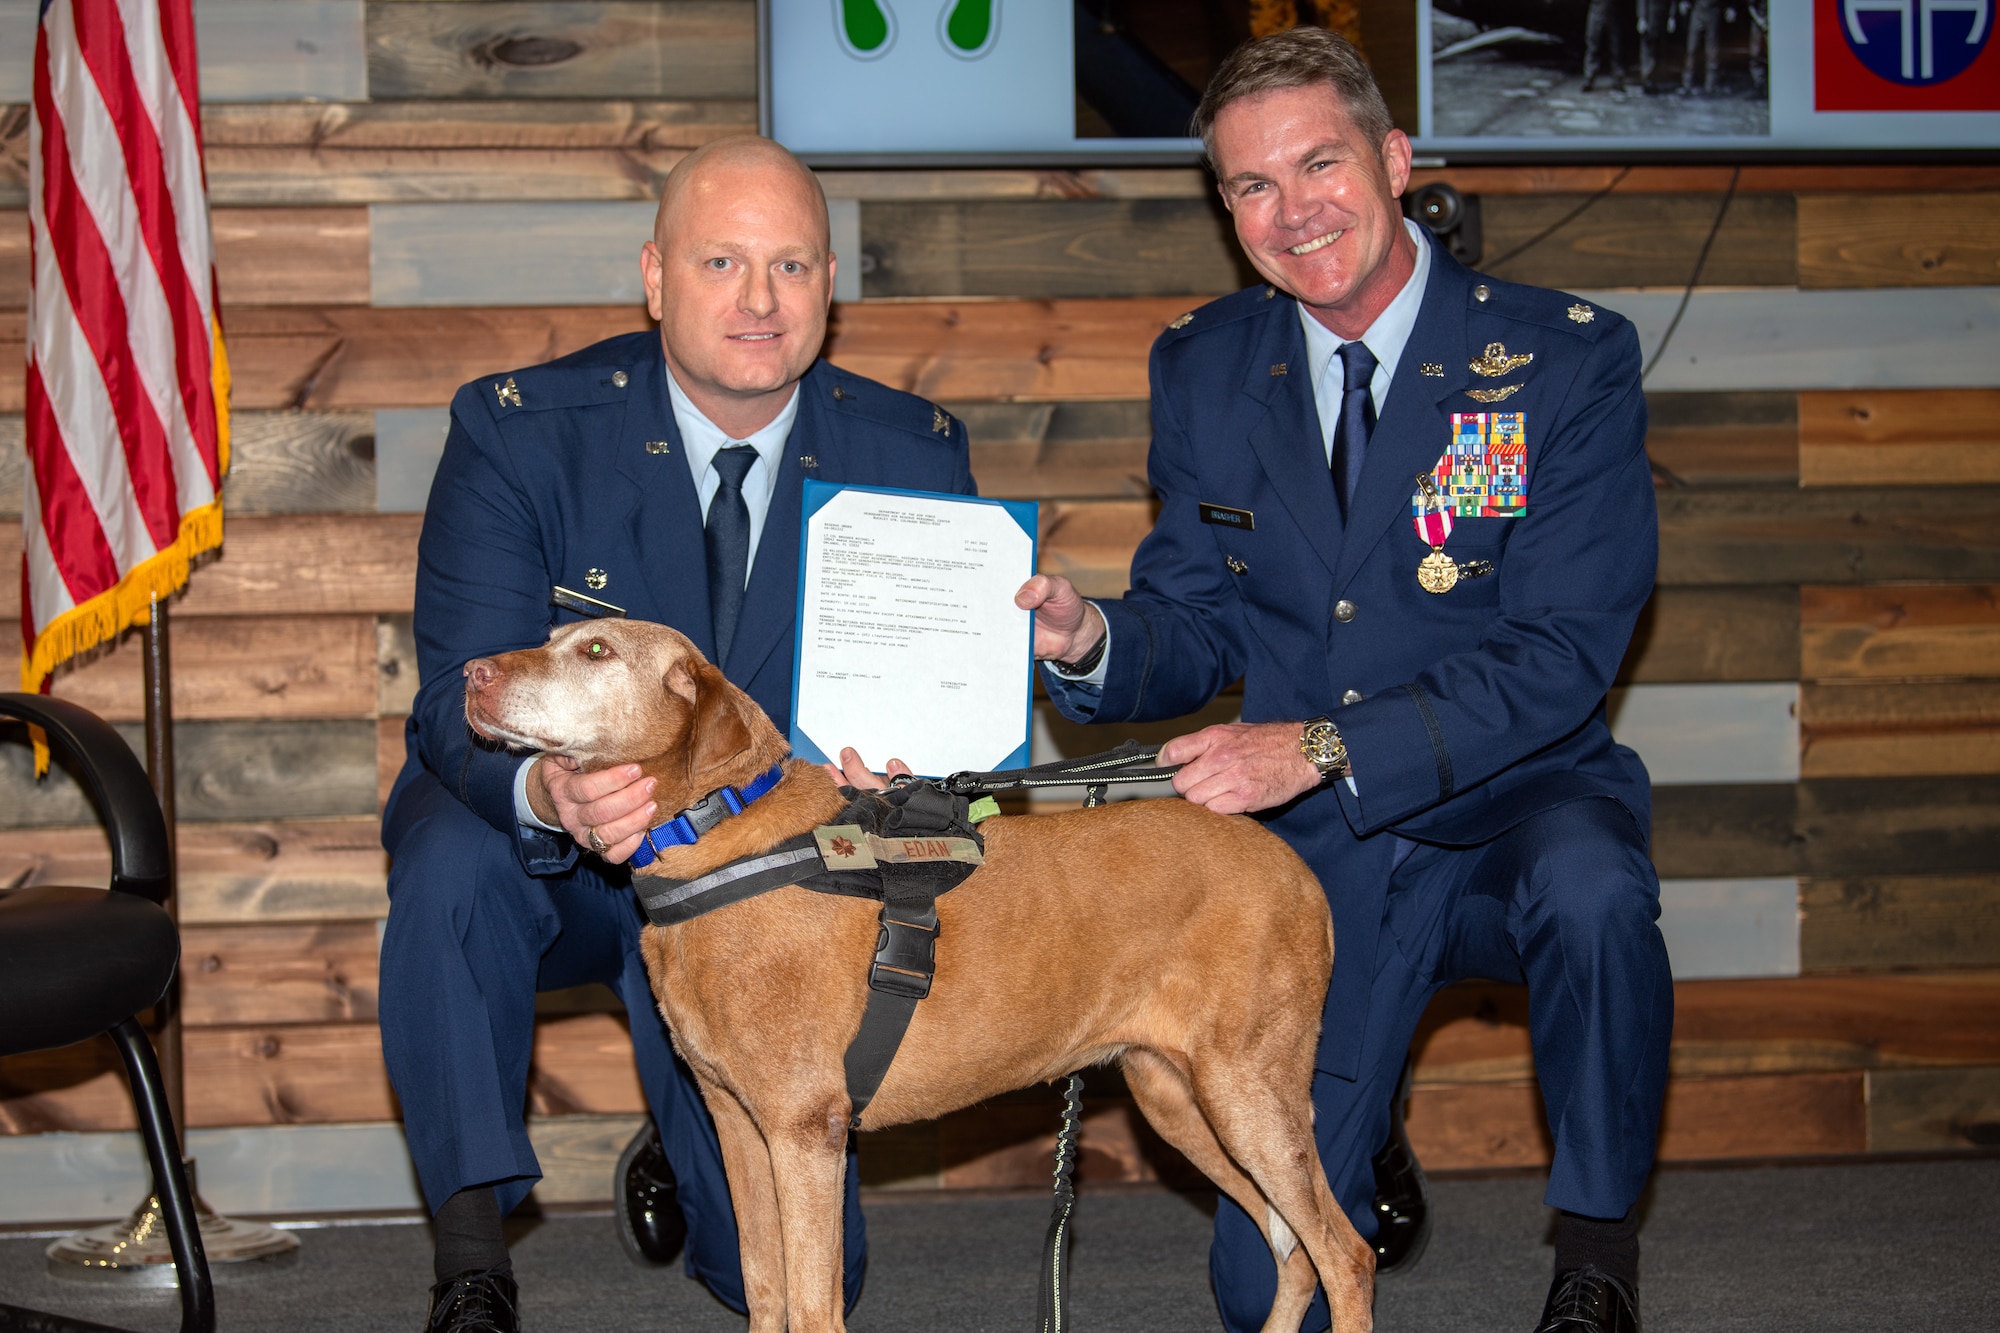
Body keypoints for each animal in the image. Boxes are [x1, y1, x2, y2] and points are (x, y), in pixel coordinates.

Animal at [464, 616, 1376, 1320]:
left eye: (596, 650)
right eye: (552, 635)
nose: (471, 673)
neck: (715, 834)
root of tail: (1297, 870)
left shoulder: (805, 1131)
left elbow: (812, 1303)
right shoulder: (738, 1125)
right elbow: (765, 1289)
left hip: (1248, 1093)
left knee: (1345, 1253)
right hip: (1179, 1098)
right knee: (1295, 1253)